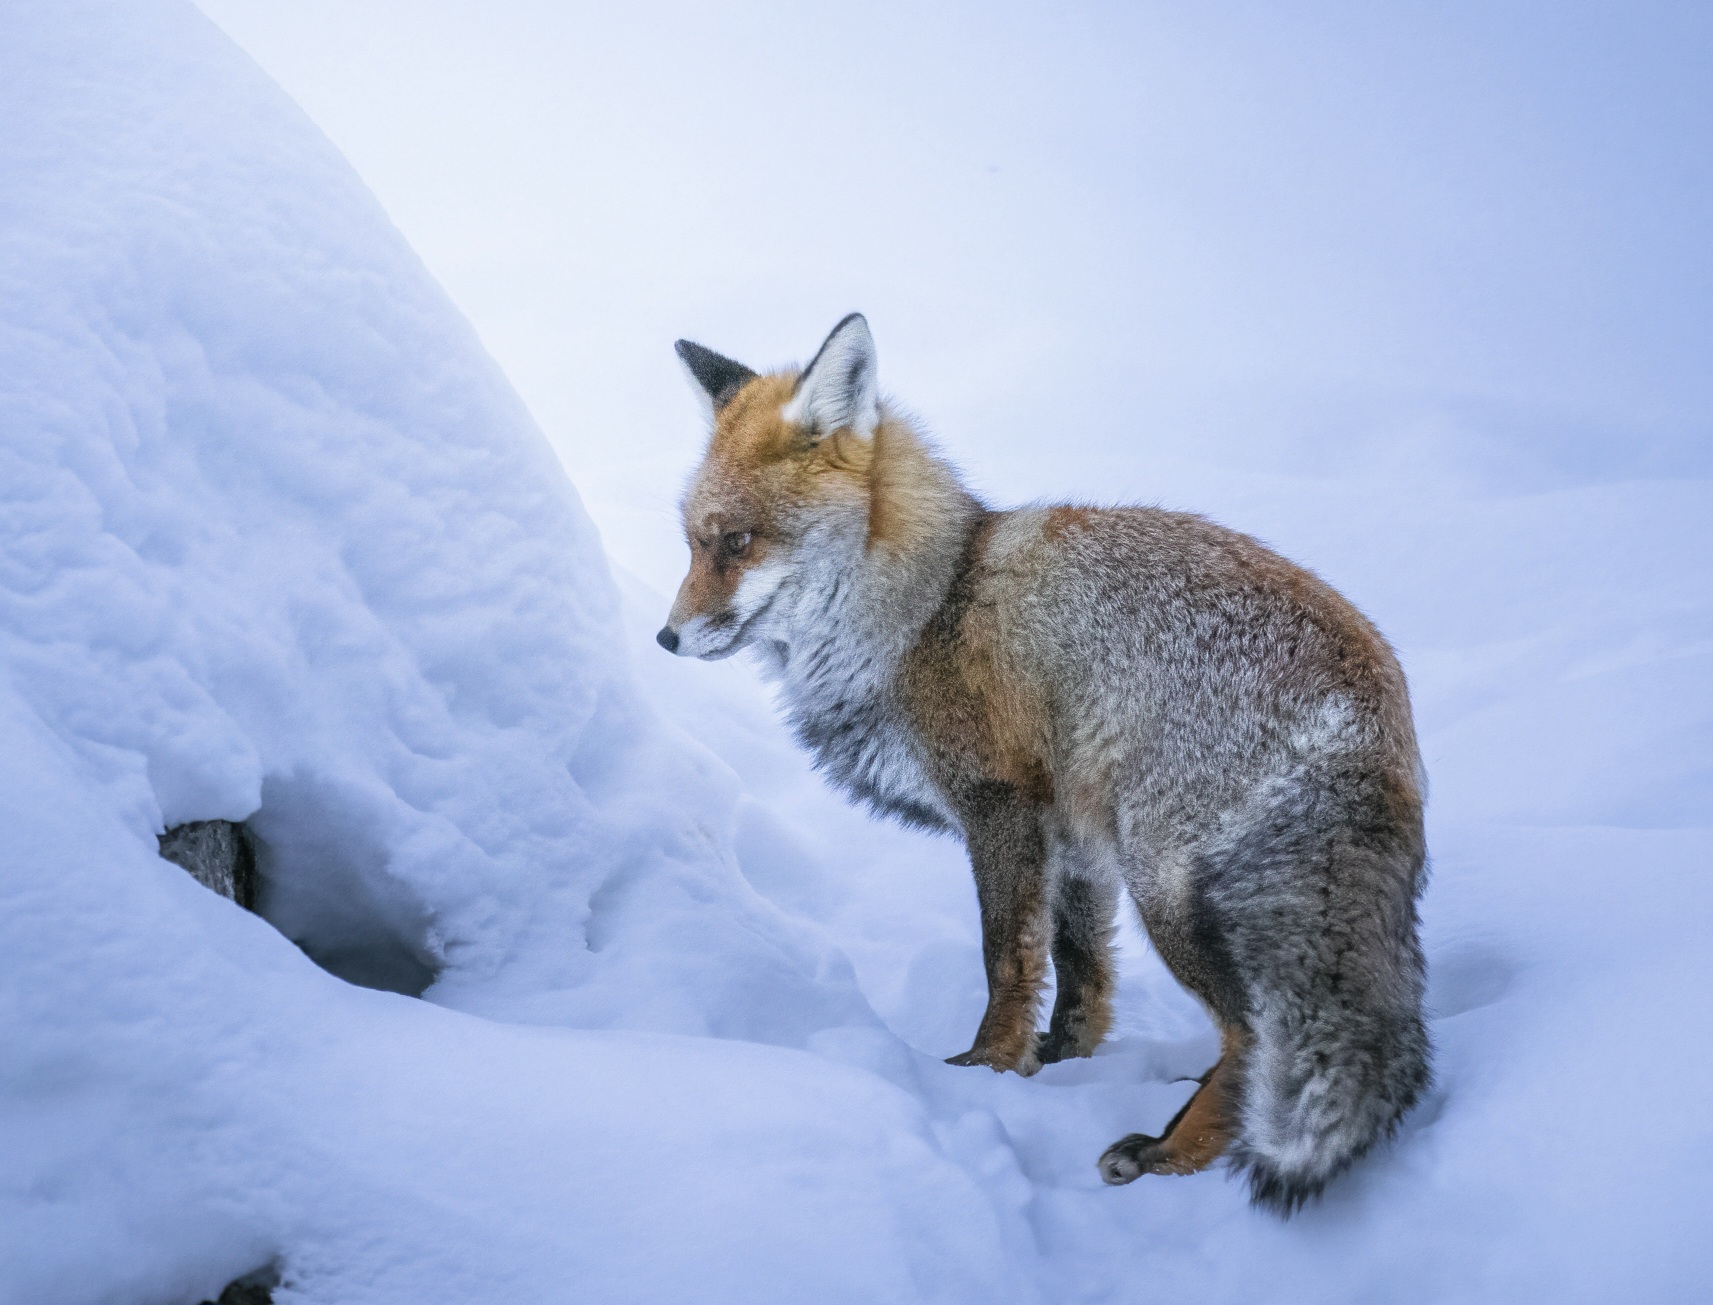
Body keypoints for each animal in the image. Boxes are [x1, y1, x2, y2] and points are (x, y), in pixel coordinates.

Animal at [657, 313, 1430, 1213]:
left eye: (737, 542)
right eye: (692, 543)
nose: (665, 637)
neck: (927, 607)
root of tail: (1370, 694)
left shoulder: (998, 804)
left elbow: (1005, 959)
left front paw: (983, 1069)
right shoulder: (1074, 840)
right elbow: (1078, 971)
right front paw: (1054, 1065)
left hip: (1166, 888)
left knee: (1252, 1032)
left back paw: (1171, 1155)